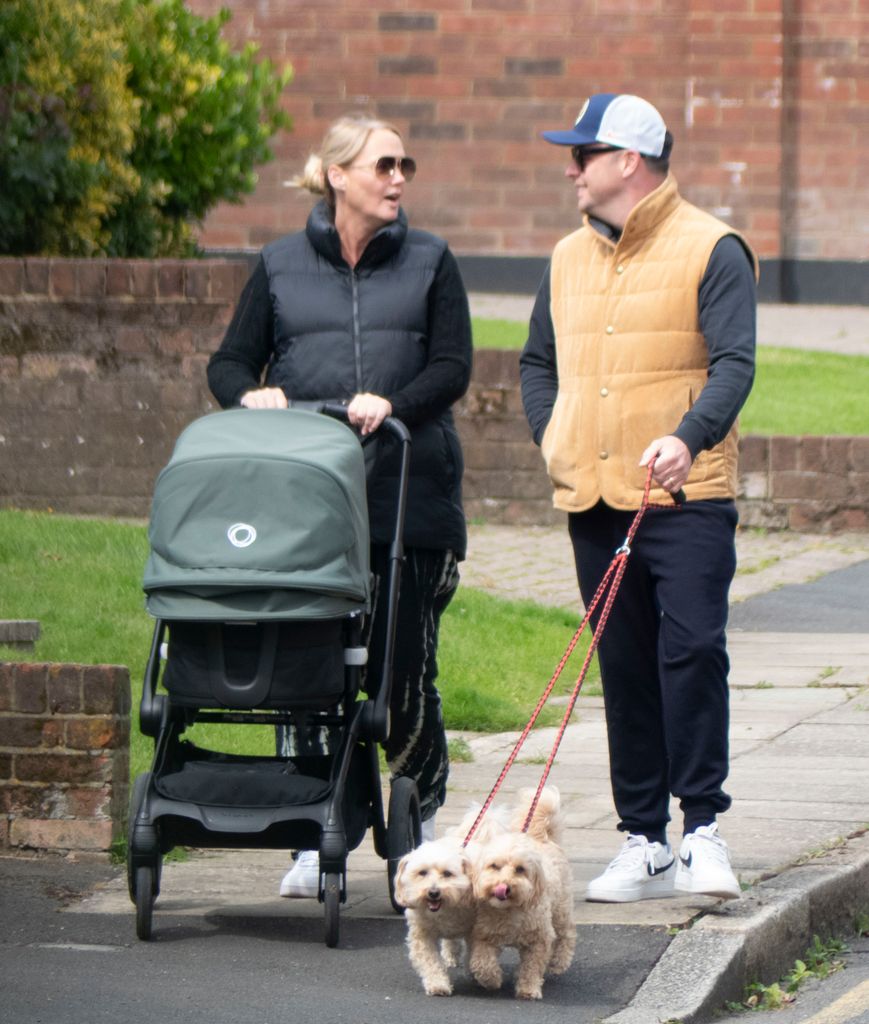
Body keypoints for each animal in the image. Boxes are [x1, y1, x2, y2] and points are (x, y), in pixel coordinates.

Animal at [468, 782, 577, 999]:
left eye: (520, 869)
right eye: (494, 866)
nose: (504, 887)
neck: (510, 910)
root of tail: (544, 839)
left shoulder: (539, 940)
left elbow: (532, 967)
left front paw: (528, 989)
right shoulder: (484, 935)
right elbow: (482, 961)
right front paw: (491, 980)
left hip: (561, 908)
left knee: (567, 934)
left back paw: (559, 962)